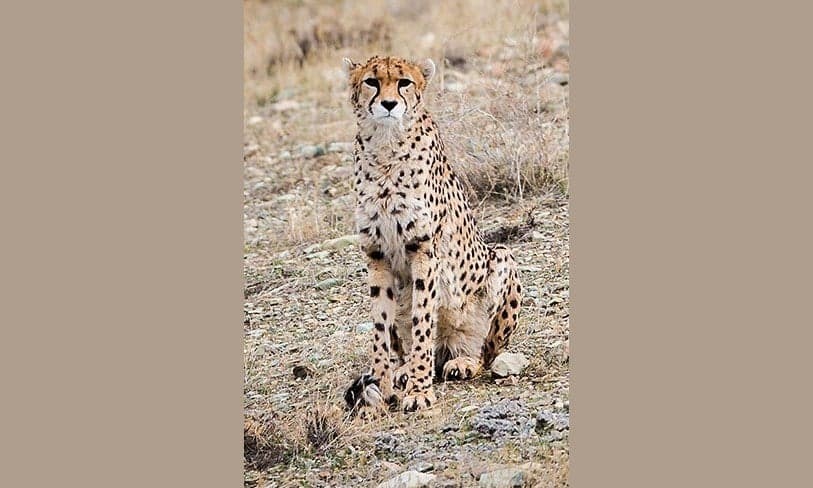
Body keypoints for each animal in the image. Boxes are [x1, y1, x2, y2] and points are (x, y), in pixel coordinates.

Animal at [341, 55, 523, 414]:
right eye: (371, 81)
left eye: (404, 83)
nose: (388, 104)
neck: (385, 147)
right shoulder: (377, 254)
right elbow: (381, 328)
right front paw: (381, 389)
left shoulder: (423, 249)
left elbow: (423, 319)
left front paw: (420, 391)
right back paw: (403, 370)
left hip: (501, 258)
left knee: (484, 351)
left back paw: (462, 362)